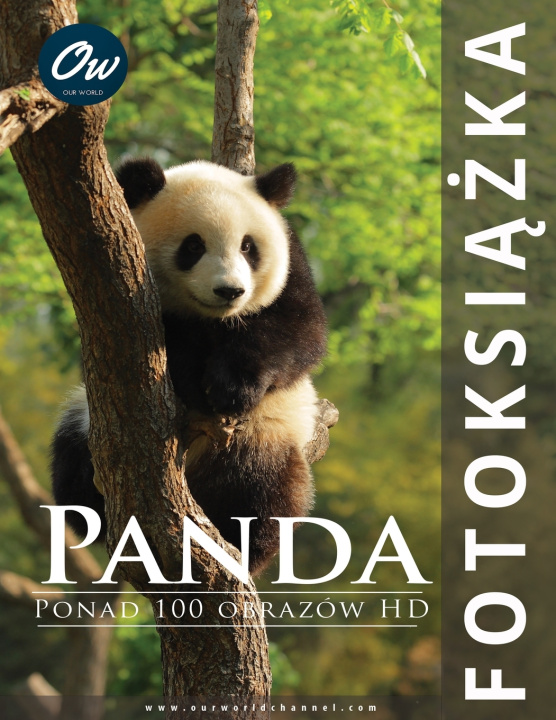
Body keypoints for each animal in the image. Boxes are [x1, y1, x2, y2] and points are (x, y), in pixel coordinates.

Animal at [51, 158, 328, 576]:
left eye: (248, 246)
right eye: (193, 246)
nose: (230, 291)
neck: (212, 319)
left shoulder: (292, 269)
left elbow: (298, 330)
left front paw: (230, 388)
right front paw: (195, 383)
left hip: (264, 435)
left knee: (263, 491)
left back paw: (244, 547)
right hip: (87, 421)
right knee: (70, 467)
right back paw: (91, 497)